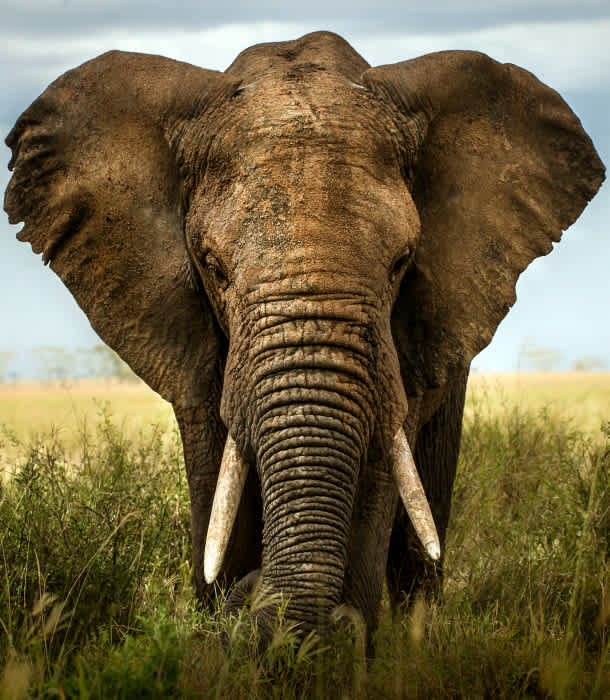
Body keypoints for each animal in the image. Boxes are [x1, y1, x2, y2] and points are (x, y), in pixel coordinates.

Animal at [4, 31, 605, 648]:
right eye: (214, 267)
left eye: (402, 262)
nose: (253, 596)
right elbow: (216, 482)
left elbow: (377, 474)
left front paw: (336, 646)